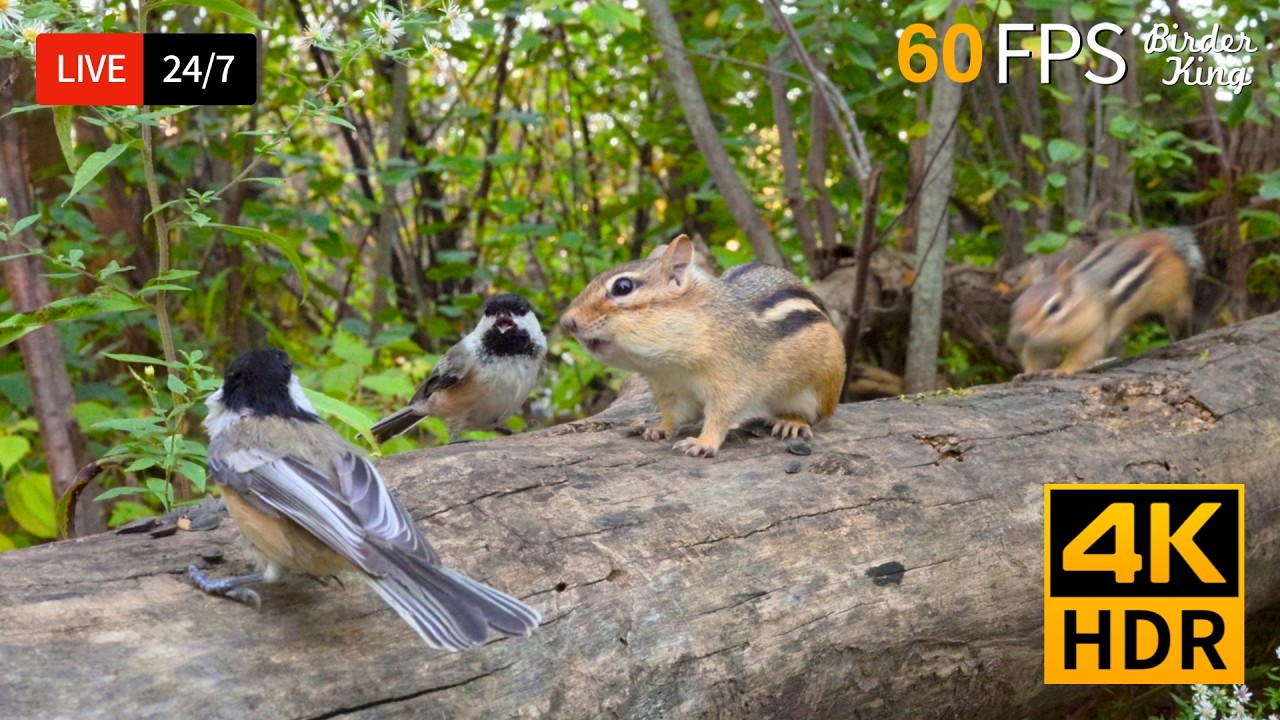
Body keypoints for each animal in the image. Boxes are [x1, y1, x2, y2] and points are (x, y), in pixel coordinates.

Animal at [559, 234, 846, 458]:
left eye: (623, 286)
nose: (566, 321)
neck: (671, 364)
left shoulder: (733, 380)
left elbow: (721, 414)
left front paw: (703, 443)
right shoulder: (669, 388)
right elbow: (674, 415)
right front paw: (660, 428)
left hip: (816, 391)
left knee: (812, 415)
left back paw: (791, 422)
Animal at [1009, 227, 1204, 375]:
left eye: (1054, 308)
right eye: (1016, 306)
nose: (1021, 335)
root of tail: (1161, 238)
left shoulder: (1096, 330)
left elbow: (1083, 353)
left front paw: (1062, 370)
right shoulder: (1038, 342)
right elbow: (1035, 356)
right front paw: (1026, 373)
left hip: (1172, 293)